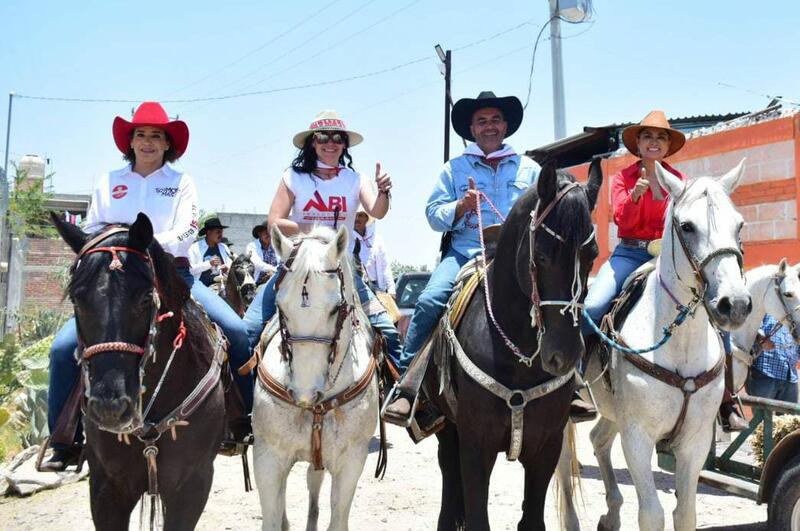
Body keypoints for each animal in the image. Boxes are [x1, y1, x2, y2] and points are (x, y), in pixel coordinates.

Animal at [251, 225, 380, 531]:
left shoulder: (351, 462)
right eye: (280, 306)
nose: (305, 393)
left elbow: (338, 519)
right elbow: (272, 518)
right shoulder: (267, 458)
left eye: (336, 308)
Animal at [425, 160, 602, 531]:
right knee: (449, 471)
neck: (519, 359)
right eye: (543, 255)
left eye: (592, 255)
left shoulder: (546, 446)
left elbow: (532, 520)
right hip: (447, 426)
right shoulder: (476, 444)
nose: (563, 355)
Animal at [556, 160, 752, 531]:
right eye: (687, 226)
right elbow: (652, 514)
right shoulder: (637, 436)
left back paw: (611, 514)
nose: (733, 304)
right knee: (561, 463)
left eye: (739, 224)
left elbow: (685, 513)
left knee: (598, 440)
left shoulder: (695, 442)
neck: (680, 346)